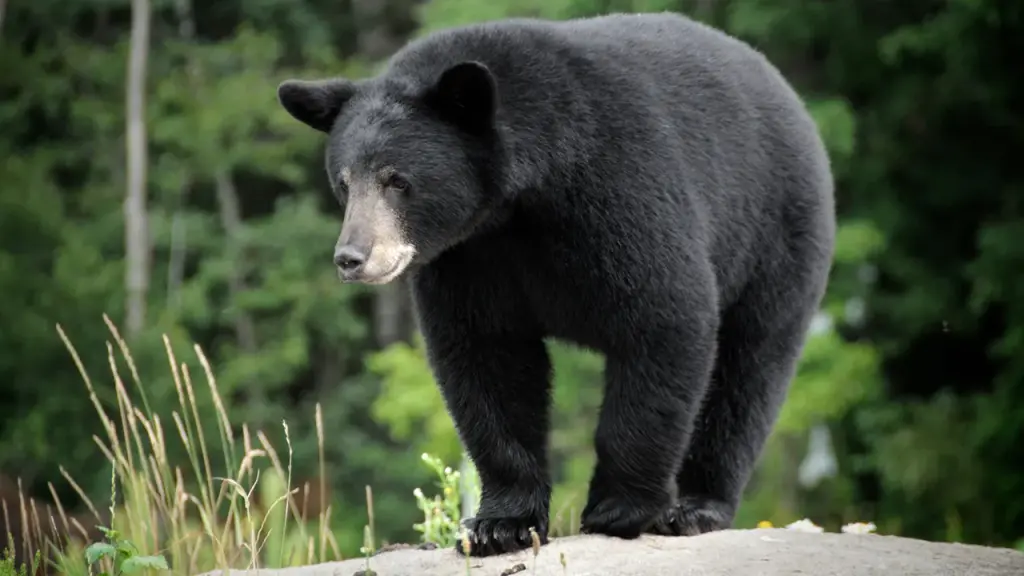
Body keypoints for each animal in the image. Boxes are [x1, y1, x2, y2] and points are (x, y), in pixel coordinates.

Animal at [276, 11, 836, 557]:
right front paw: (500, 524)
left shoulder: (620, 187)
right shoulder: (470, 257)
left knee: (748, 372)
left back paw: (697, 507)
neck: (520, 201)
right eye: (344, 182)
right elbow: (486, 358)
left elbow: (665, 317)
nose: (351, 257)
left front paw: (619, 509)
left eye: (398, 180)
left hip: (776, 236)